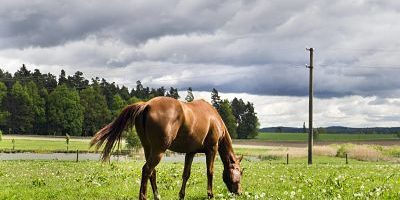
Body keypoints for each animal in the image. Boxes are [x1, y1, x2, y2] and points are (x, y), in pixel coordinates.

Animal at [90, 96, 242, 199]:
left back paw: (157, 196)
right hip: (159, 150)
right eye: (241, 172)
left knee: (152, 172)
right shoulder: (212, 149)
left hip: (149, 148)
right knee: (147, 169)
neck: (213, 119)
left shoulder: (191, 152)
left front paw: (181, 195)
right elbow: (210, 172)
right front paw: (210, 194)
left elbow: (186, 174)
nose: (239, 192)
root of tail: (146, 105)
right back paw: (143, 196)